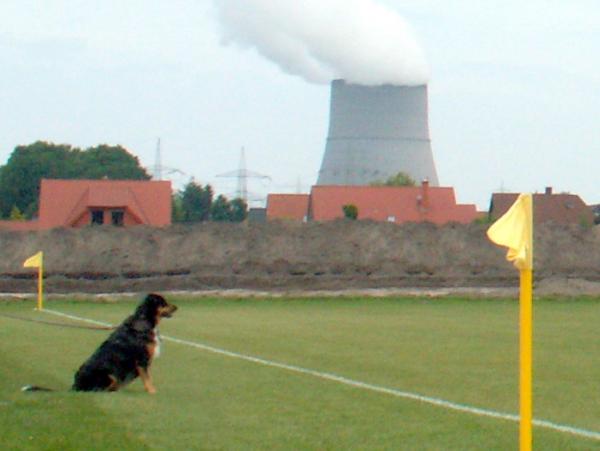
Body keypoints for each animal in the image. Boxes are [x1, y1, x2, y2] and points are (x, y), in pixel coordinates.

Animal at [24, 294, 178, 394]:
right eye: (163, 303)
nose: (176, 307)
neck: (144, 321)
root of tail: (74, 386)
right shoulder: (142, 360)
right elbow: (148, 379)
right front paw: (153, 392)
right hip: (109, 375)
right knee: (96, 390)